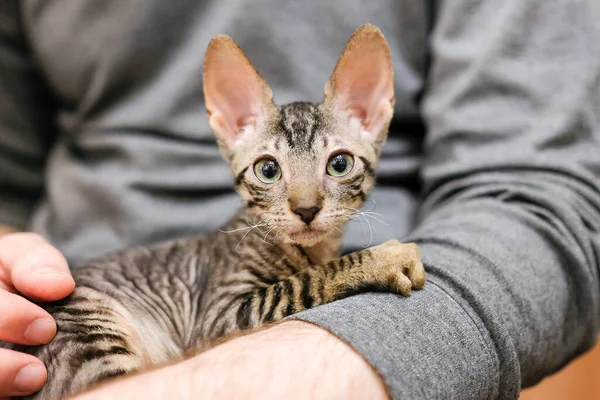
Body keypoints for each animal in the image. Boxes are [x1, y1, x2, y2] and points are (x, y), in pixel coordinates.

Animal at [7, 25, 424, 400]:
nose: (306, 209)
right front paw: (383, 258)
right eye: (268, 170)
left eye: (339, 164)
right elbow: (306, 280)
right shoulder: (219, 316)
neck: (312, 249)